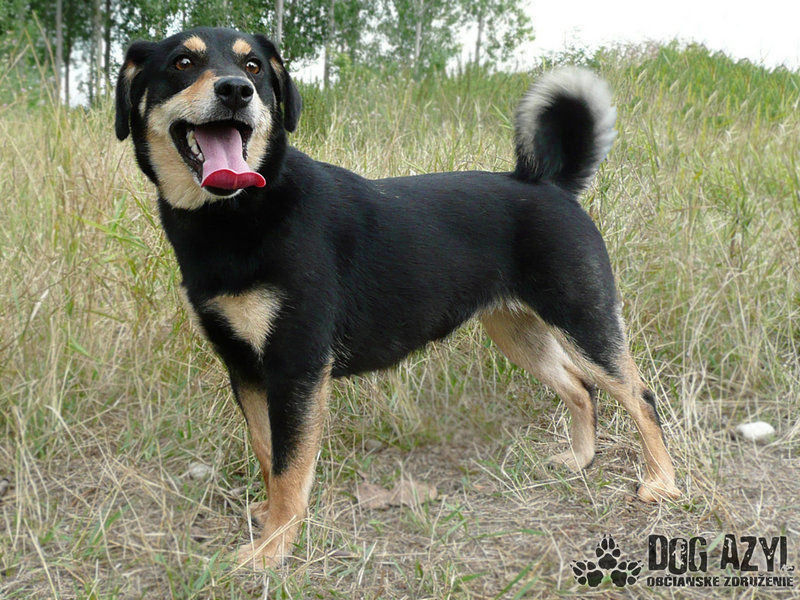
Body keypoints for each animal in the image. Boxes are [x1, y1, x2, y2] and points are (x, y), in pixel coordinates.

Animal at [115, 27, 681, 567]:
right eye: (182, 63)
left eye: (253, 65)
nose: (236, 90)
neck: (237, 214)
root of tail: (553, 184)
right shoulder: (245, 367)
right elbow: (268, 455)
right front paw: (273, 519)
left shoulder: (297, 365)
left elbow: (291, 465)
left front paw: (272, 549)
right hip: (518, 332)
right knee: (580, 388)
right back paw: (581, 460)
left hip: (584, 317)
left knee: (640, 395)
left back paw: (662, 483)